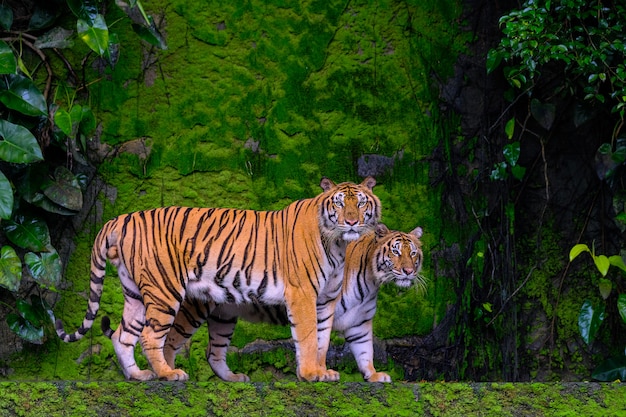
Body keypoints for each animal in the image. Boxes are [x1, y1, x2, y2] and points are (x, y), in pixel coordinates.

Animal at [54, 176, 380, 380]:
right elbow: (309, 336)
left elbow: (323, 338)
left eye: (362, 203)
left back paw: (138, 375)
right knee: (149, 336)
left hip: (135, 292)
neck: (338, 245)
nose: (352, 222)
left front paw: (322, 371)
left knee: (123, 336)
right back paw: (168, 374)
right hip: (164, 290)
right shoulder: (303, 294)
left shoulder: (325, 299)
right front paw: (311, 374)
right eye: (339, 203)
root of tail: (122, 217)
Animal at [161, 223, 424, 382]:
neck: (371, 282)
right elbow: (316, 342)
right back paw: (169, 373)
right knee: (170, 340)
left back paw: (234, 378)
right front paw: (317, 373)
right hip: (194, 309)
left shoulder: (359, 322)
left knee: (213, 351)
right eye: (396, 252)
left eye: (413, 253)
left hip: (224, 315)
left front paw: (374, 376)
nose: (409, 271)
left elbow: (365, 351)